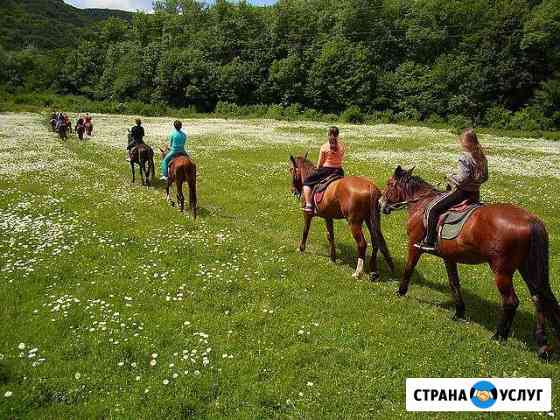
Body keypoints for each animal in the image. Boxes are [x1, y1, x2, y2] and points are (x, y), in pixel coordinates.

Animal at [378, 166, 556, 360]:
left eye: (389, 183)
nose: (380, 203)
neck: (422, 204)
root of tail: (531, 220)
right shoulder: (449, 257)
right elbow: (454, 283)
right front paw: (459, 312)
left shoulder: (414, 245)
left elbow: (409, 268)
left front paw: (400, 292)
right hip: (527, 269)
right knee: (538, 299)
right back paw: (542, 346)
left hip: (501, 270)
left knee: (511, 302)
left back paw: (499, 335)